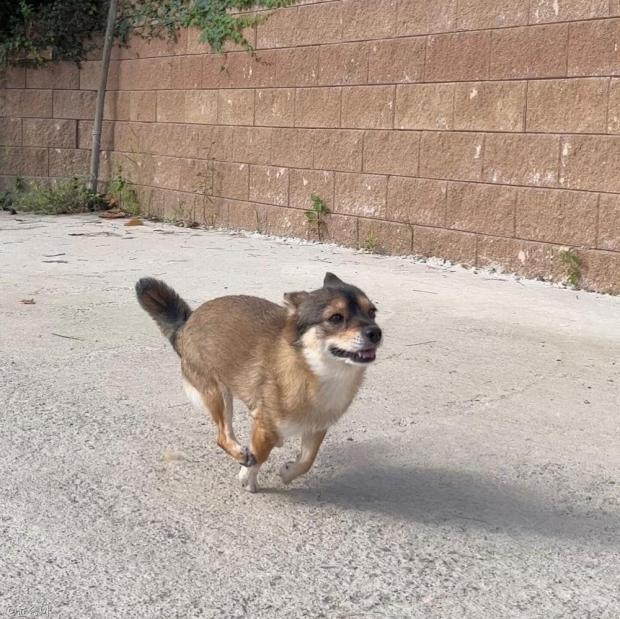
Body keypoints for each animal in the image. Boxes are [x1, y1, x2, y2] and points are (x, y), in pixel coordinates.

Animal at [136, 274, 380, 492]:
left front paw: (288, 472)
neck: (317, 372)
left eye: (372, 312)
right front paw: (247, 475)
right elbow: (261, 453)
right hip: (218, 393)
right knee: (222, 436)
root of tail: (186, 322)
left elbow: (307, 460)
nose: (376, 332)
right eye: (336, 318)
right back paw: (240, 453)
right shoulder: (264, 424)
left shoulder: (316, 428)